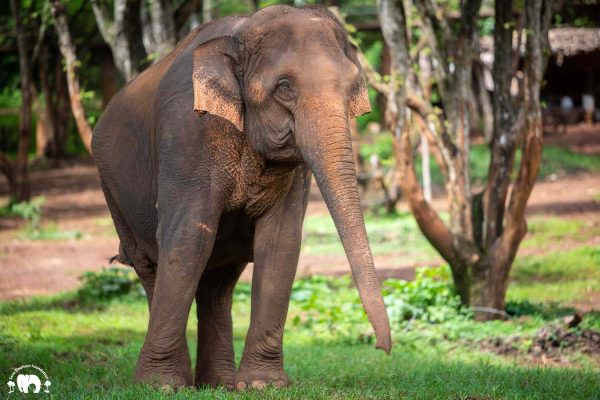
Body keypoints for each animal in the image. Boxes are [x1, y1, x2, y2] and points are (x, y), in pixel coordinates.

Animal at [93, 3, 392, 390]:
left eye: (352, 86)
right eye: (284, 87)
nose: (381, 348)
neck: (241, 34)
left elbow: (280, 242)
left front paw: (263, 386)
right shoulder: (187, 131)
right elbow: (187, 237)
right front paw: (161, 386)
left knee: (218, 281)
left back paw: (218, 384)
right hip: (113, 191)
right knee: (150, 265)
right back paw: (171, 381)